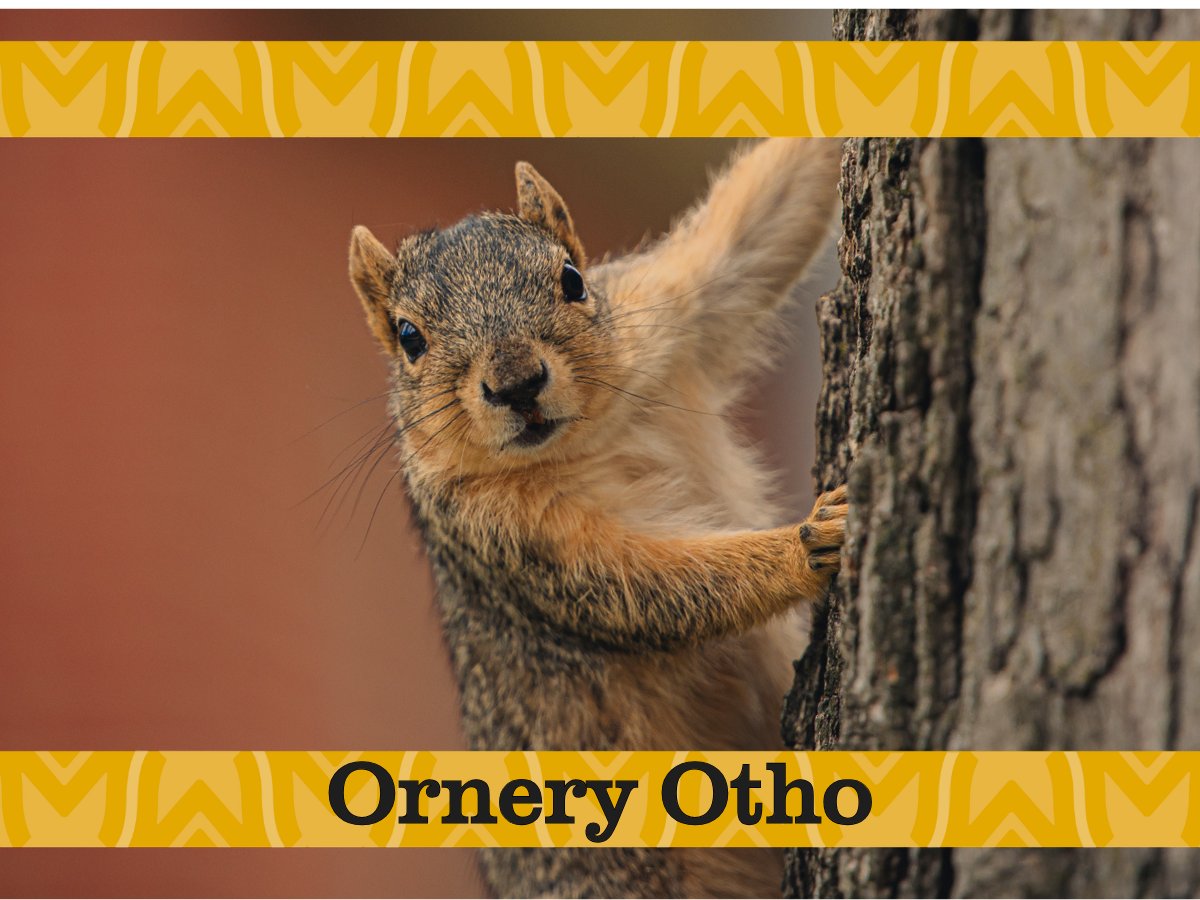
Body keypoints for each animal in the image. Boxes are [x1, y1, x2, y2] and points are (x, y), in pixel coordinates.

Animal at [348, 138, 846, 899]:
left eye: (573, 280)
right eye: (409, 337)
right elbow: (652, 588)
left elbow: (758, 228)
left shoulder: (664, 309)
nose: (517, 383)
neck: (585, 436)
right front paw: (810, 544)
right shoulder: (508, 540)